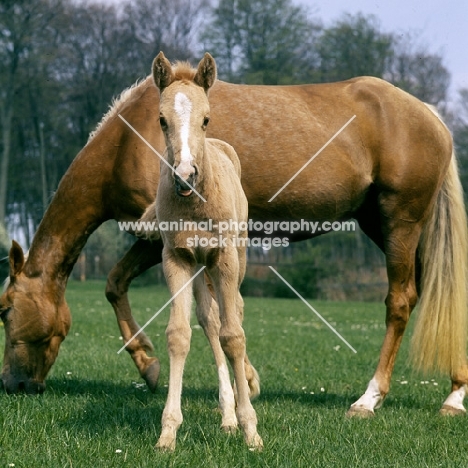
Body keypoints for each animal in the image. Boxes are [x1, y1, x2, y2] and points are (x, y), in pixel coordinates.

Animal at [154, 53, 264, 452]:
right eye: (162, 119)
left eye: (206, 118)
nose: (185, 174)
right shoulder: (177, 258)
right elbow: (179, 334)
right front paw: (168, 432)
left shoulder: (225, 258)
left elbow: (234, 336)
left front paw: (252, 431)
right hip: (200, 267)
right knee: (210, 320)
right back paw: (228, 415)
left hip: (236, 256)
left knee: (235, 315)